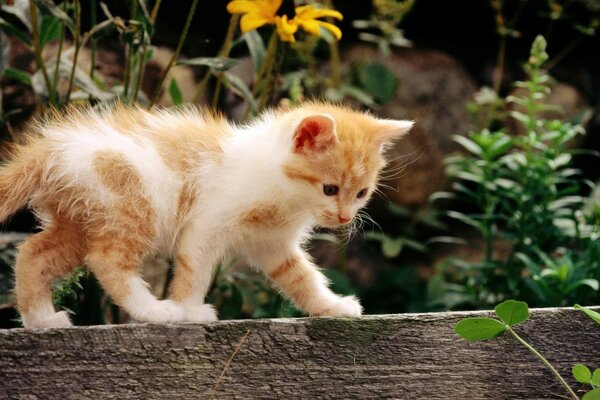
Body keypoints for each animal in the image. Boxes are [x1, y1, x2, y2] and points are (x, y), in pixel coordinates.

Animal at [0, 102, 412, 328]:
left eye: (361, 194)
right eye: (330, 189)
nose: (343, 218)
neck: (280, 191)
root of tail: (51, 148)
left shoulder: (273, 244)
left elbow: (303, 279)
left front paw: (332, 306)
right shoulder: (206, 225)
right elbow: (195, 270)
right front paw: (189, 309)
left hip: (80, 220)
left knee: (33, 253)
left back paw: (41, 319)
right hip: (132, 208)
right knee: (107, 260)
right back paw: (155, 311)